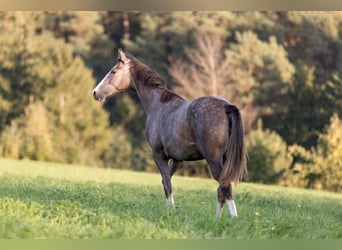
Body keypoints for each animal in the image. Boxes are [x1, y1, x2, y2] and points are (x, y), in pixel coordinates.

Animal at [91, 48, 246, 217]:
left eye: (113, 71)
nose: (95, 92)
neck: (158, 104)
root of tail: (226, 107)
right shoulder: (177, 159)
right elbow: (166, 181)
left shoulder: (158, 154)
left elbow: (167, 184)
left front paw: (169, 212)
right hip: (224, 160)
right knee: (221, 191)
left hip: (214, 160)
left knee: (225, 187)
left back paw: (233, 218)